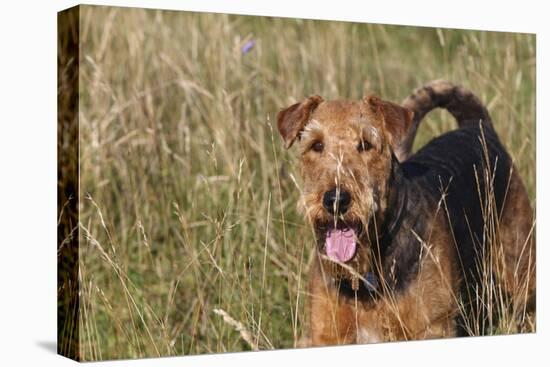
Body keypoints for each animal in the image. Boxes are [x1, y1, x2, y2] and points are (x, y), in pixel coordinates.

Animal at [278, 80, 536, 344]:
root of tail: (477, 127)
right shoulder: (326, 333)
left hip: (520, 266)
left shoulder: (430, 328)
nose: (336, 200)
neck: (366, 275)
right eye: (316, 145)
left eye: (366, 144)